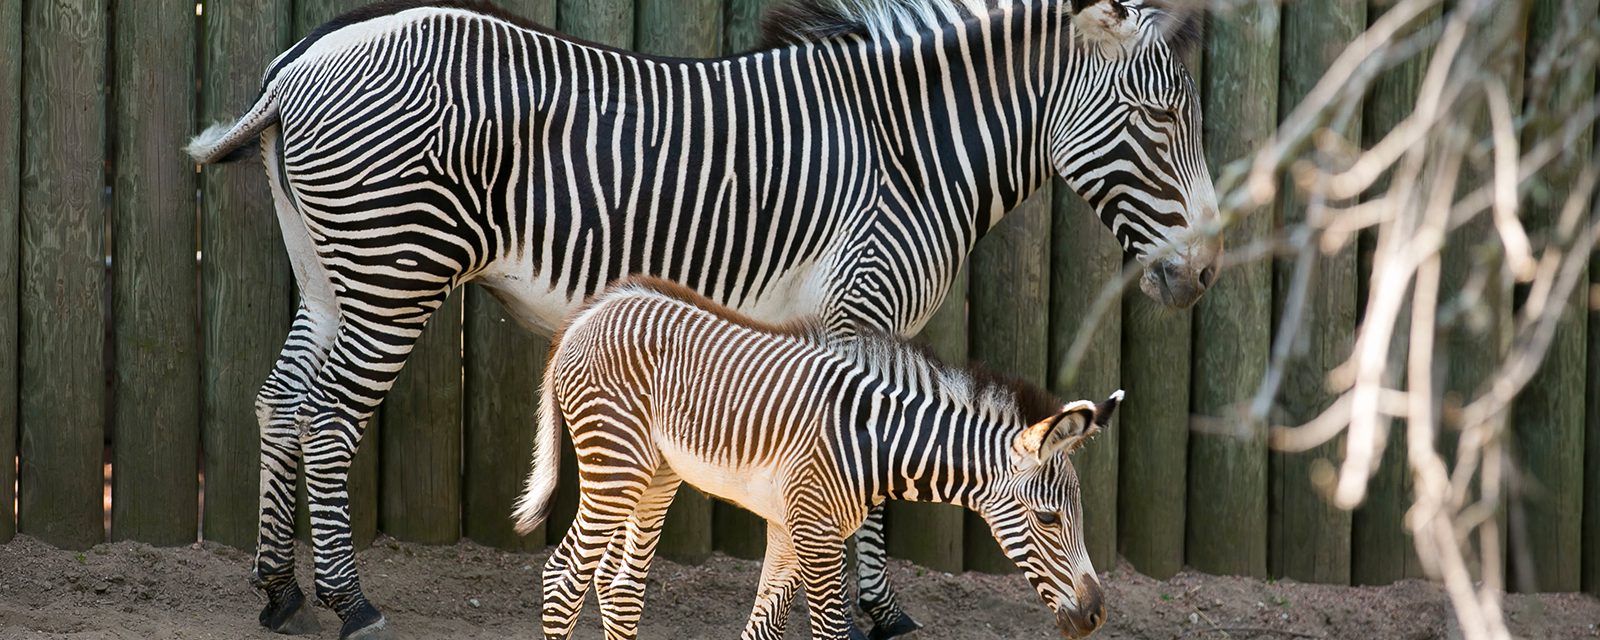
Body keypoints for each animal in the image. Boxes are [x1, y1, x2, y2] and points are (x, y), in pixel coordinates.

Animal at [515, 276, 1126, 640]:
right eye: (1048, 518)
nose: (1097, 614)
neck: (875, 442)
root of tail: (591, 311)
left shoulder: (791, 529)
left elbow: (762, 630)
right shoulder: (815, 533)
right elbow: (828, 632)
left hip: (655, 473)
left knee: (619, 587)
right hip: (613, 464)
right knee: (563, 577)